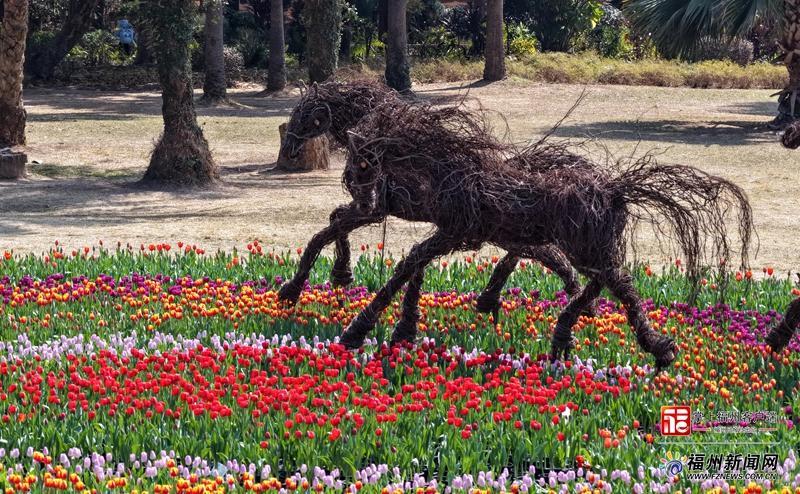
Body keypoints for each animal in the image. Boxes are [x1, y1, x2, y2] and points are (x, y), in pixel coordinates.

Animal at [278, 80, 590, 323]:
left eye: (304, 114)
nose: (290, 149)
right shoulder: (369, 209)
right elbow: (334, 222)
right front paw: (341, 274)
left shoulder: (373, 210)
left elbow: (325, 233)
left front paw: (294, 290)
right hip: (499, 232)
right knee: (542, 253)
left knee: (547, 254)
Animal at [338, 101, 754, 372]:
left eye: (363, 163)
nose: (365, 203)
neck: (453, 175)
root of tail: (615, 189)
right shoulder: (456, 235)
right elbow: (414, 265)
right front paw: (401, 330)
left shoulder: (456, 232)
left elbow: (407, 264)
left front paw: (357, 332)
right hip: (590, 248)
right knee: (609, 282)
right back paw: (579, 336)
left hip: (585, 247)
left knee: (614, 282)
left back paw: (633, 345)